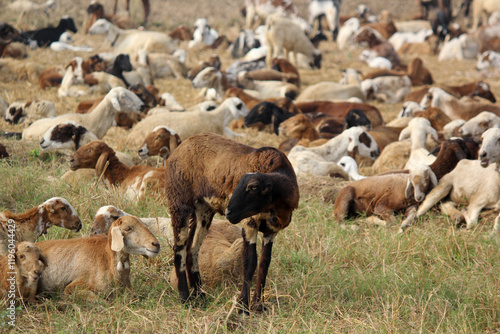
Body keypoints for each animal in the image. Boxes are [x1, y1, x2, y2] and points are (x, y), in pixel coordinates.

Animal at [164, 133, 298, 314]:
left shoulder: (272, 231)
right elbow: (250, 262)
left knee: (192, 248)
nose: (229, 212)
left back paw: (200, 296)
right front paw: (243, 306)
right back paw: (185, 298)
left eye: (253, 187)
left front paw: (258, 305)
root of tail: (181, 146)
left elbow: (264, 263)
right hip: (179, 202)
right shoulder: (250, 223)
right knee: (180, 249)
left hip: (203, 209)